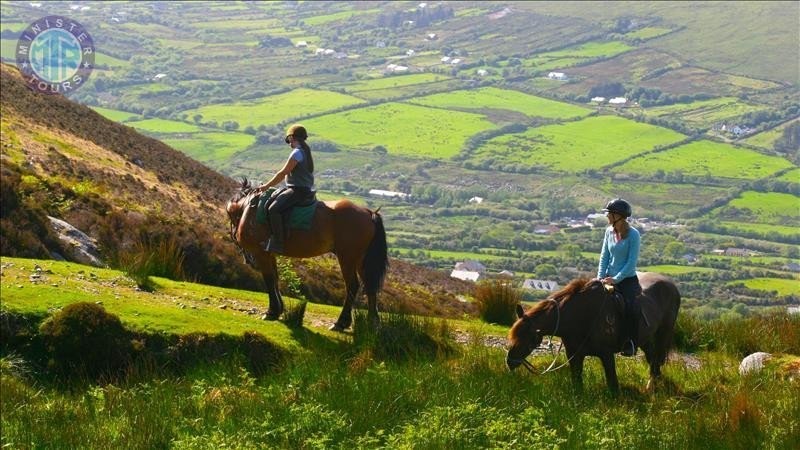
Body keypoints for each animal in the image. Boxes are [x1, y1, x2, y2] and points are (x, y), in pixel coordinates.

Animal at [227, 179, 390, 330]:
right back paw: (371, 323)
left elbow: (269, 279)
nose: (235, 238)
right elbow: (275, 278)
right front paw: (278, 309)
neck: (248, 208)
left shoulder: (261, 254)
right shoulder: (269, 254)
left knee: (352, 286)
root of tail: (369, 213)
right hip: (361, 260)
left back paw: (341, 322)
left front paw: (271, 311)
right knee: (370, 286)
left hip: (347, 258)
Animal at [506, 272, 680, 392]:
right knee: (653, 360)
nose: (510, 361)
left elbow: (612, 384)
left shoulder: (606, 354)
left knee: (656, 360)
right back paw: (653, 386)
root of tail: (671, 285)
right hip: (645, 339)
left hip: (663, 334)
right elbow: (577, 383)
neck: (582, 314)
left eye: (528, 339)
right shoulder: (574, 355)